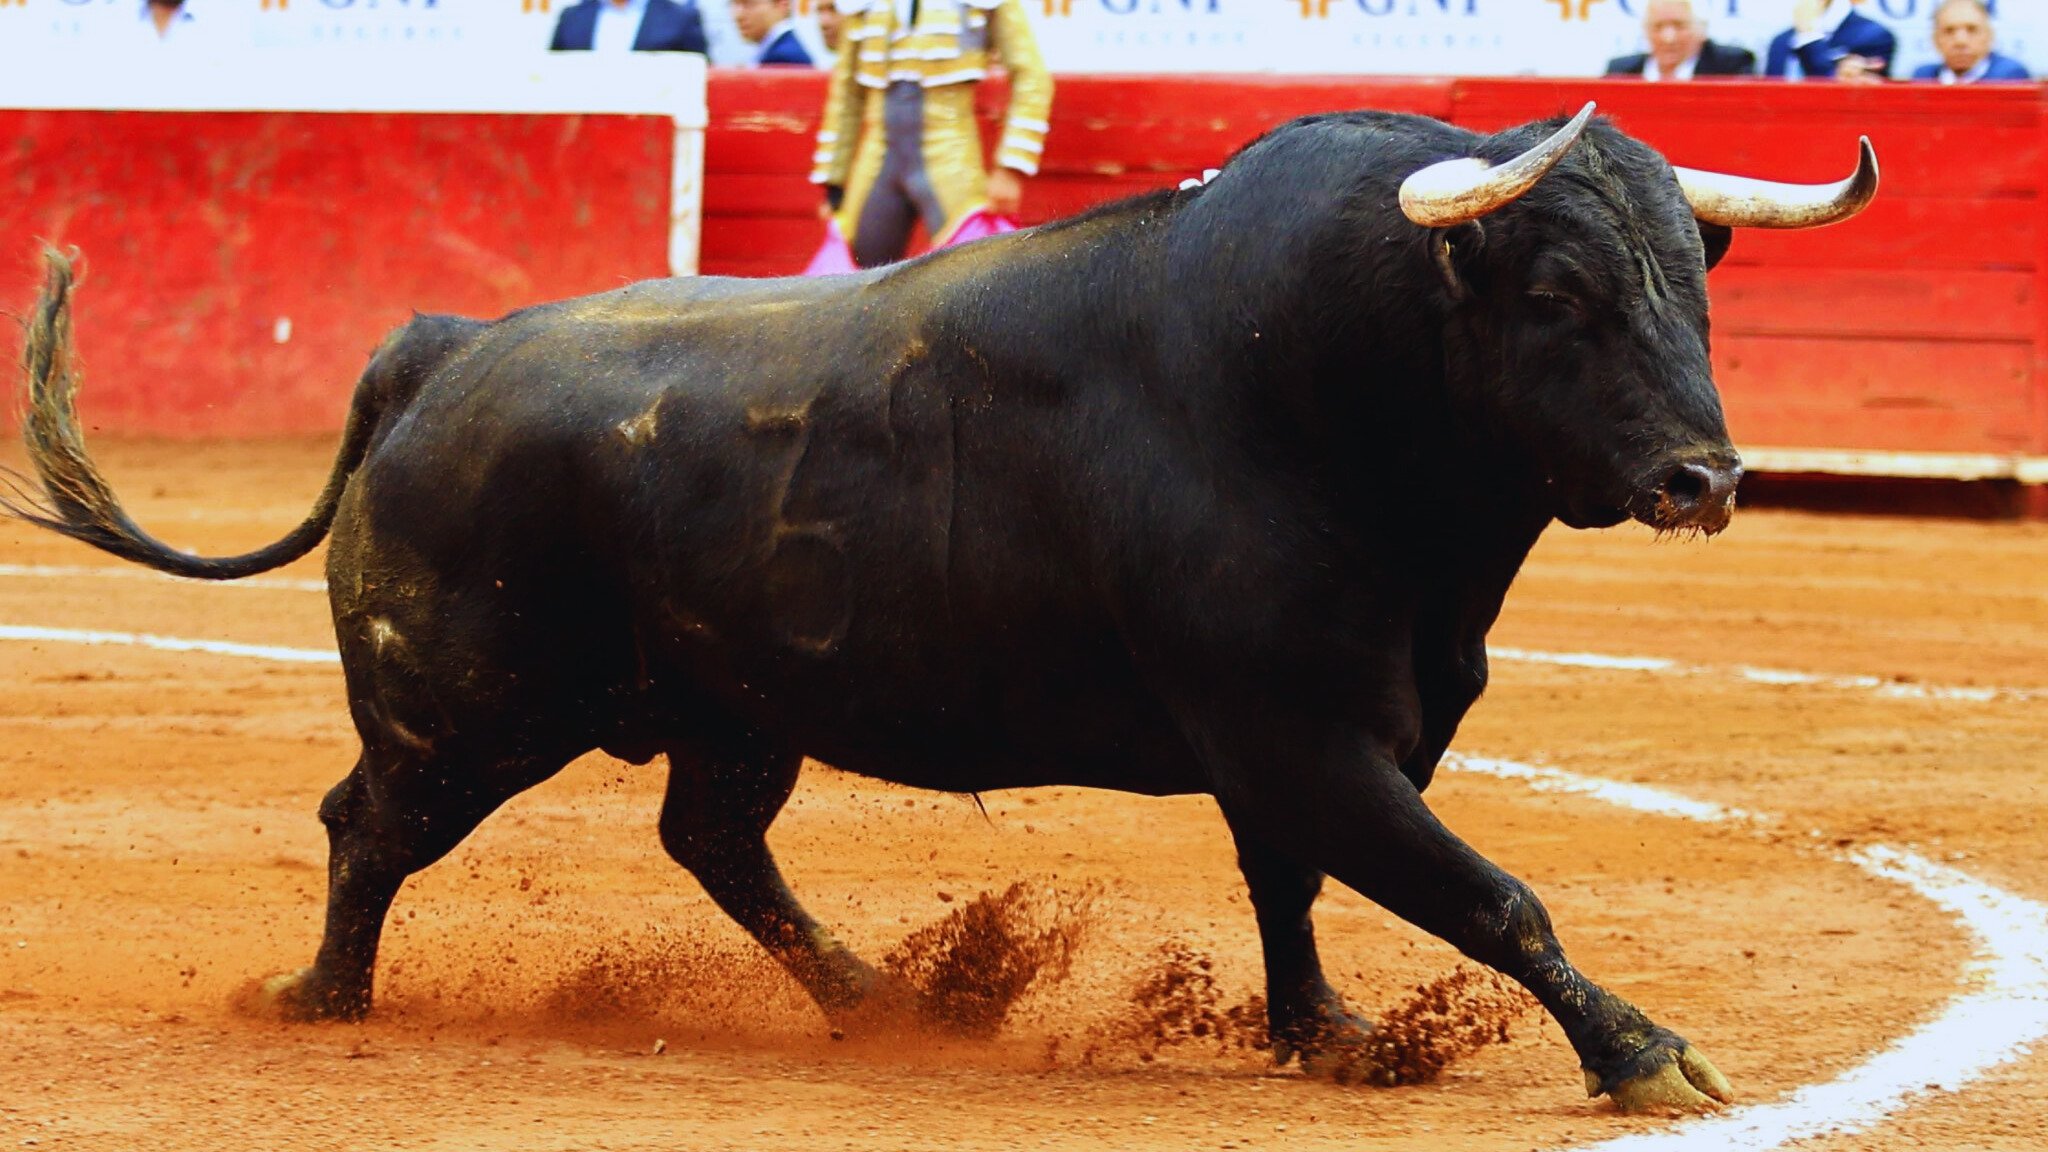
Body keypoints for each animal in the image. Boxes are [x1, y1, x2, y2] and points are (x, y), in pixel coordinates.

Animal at [12, 107, 1875, 1115]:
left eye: (1695, 285)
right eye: (1559, 295)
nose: (1705, 476)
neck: (1332, 381)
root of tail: (444, 348)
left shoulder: (1312, 743)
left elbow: (1301, 889)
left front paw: (1326, 1035)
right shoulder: (1297, 729)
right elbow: (1492, 895)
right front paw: (1645, 1053)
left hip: (730, 708)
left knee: (710, 839)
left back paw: (880, 997)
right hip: (468, 708)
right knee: (371, 824)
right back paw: (324, 1001)